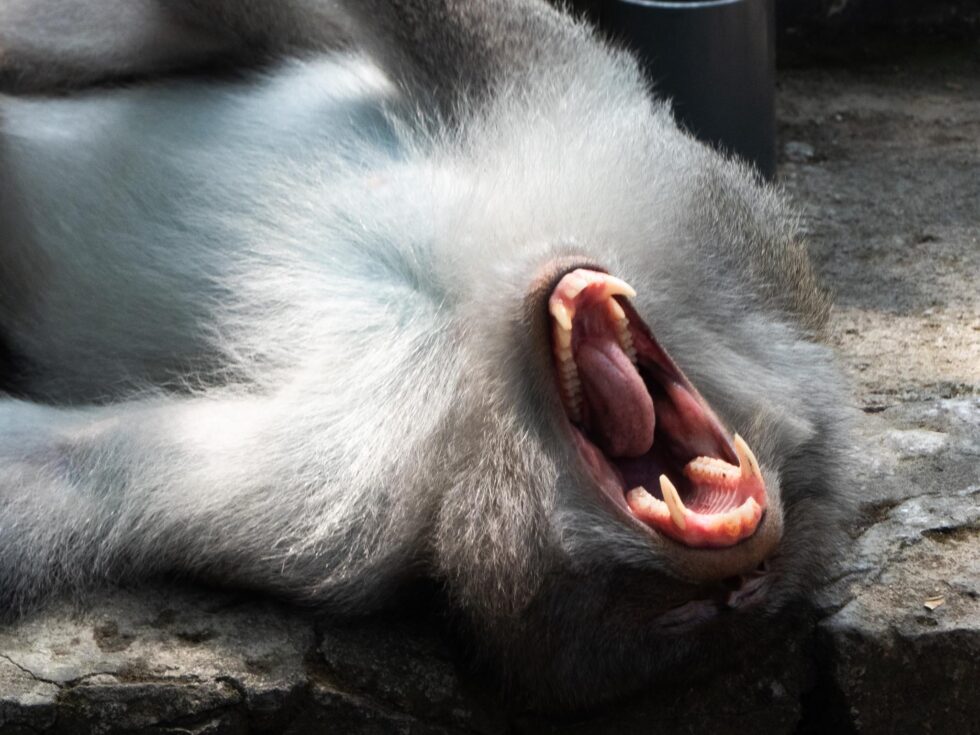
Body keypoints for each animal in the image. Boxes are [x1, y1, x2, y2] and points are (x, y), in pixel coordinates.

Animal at [0, 0, 848, 708]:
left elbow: (76, 474)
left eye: (718, 604)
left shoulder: (349, 503)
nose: (737, 575)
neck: (471, 309)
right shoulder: (619, 135)